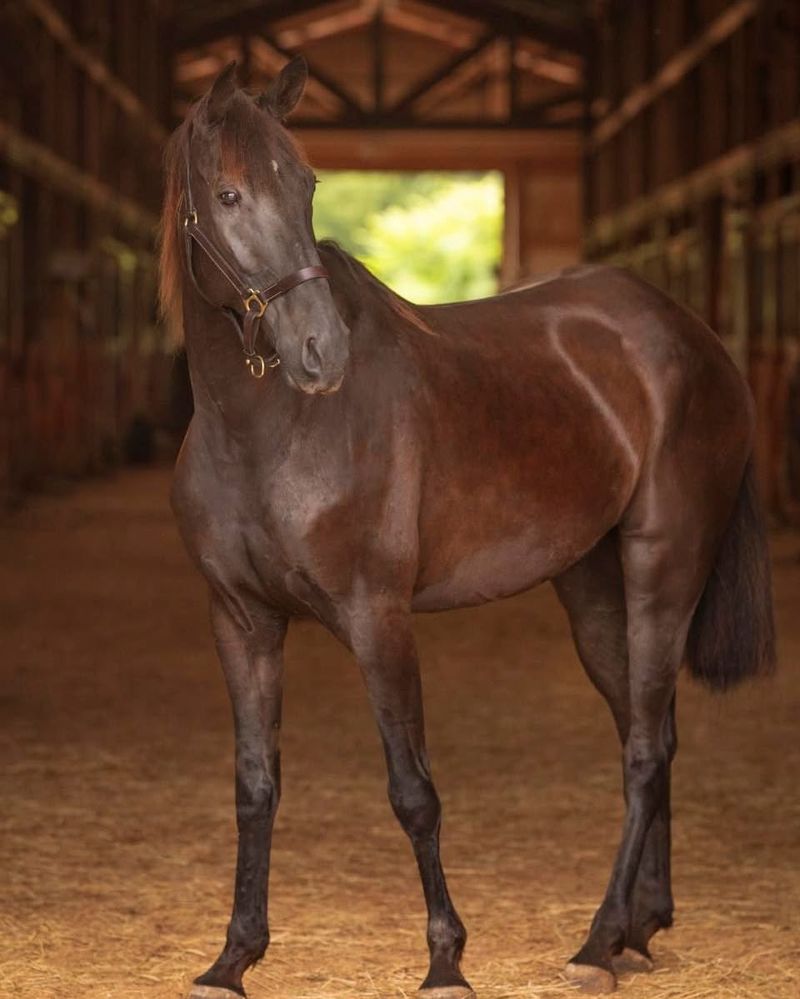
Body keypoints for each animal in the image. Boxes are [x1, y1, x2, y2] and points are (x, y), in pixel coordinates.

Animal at [159, 60, 780, 999]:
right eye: (228, 194)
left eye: (305, 185)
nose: (320, 352)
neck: (266, 429)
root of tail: (696, 339)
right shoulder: (240, 619)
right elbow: (255, 784)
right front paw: (233, 956)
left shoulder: (378, 617)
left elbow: (413, 789)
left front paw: (446, 959)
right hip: (594, 590)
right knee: (651, 731)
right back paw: (639, 929)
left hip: (664, 567)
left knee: (644, 748)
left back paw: (597, 940)